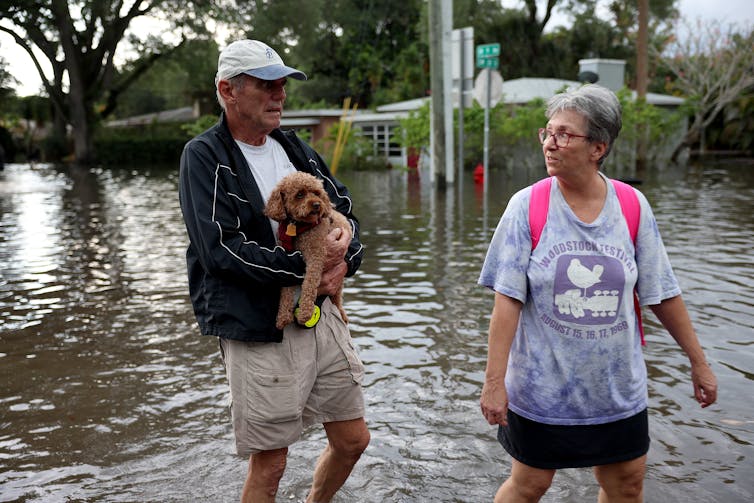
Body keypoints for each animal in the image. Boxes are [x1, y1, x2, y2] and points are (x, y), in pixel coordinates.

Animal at [262, 173, 348, 330]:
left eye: (316, 193)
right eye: (299, 194)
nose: (317, 205)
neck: (298, 226)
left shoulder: (316, 256)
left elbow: (309, 284)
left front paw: (305, 313)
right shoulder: (286, 259)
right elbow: (286, 288)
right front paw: (283, 316)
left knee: (337, 298)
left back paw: (342, 314)